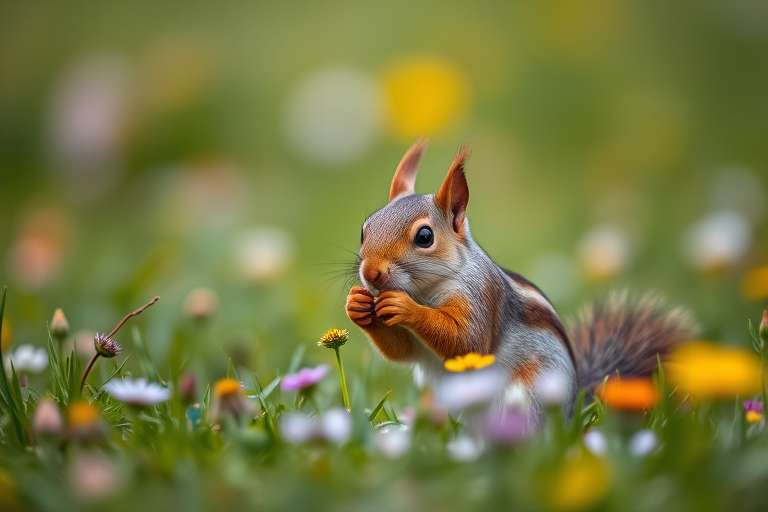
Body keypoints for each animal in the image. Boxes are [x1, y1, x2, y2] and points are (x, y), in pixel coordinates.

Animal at [345, 140, 698, 429]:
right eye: (364, 230)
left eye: (424, 236)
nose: (371, 274)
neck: (424, 290)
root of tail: (571, 411)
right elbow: (402, 352)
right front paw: (357, 305)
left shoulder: (482, 298)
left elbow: (467, 341)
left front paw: (404, 307)